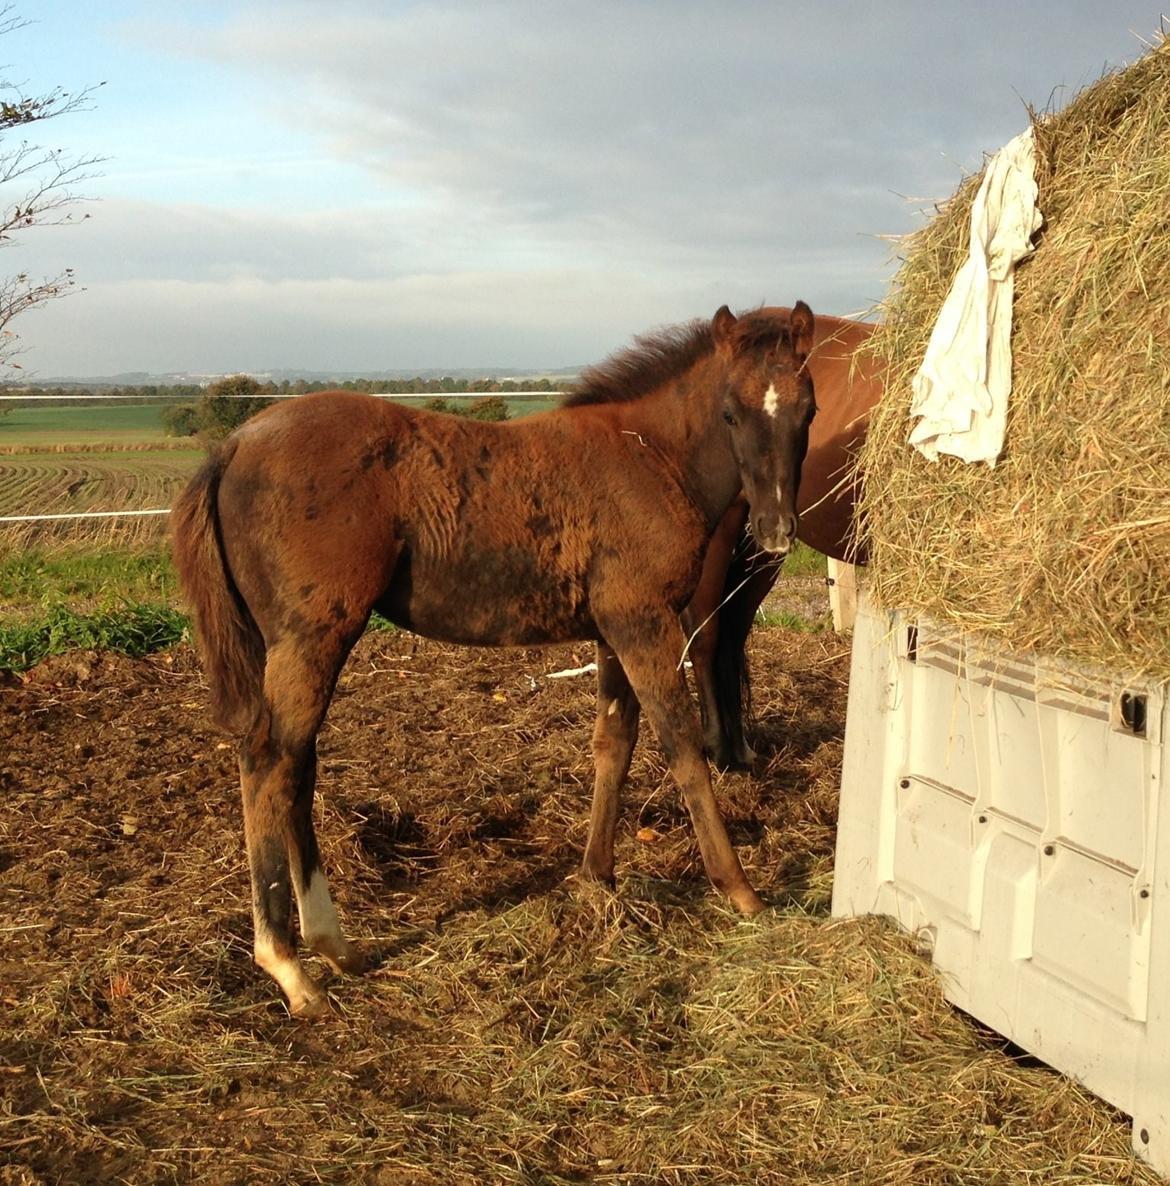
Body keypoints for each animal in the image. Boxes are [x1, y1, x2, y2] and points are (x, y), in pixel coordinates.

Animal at [171, 301, 815, 1015]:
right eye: (730, 412)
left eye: (808, 409)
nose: (776, 530)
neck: (649, 455)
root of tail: (233, 446)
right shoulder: (643, 620)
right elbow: (681, 746)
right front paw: (740, 889)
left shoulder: (612, 629)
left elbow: (613, 744)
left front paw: (596, 877)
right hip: (311, 636)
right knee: (269, 761)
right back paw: (289, 968)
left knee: (296, 764)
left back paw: (334, 947)